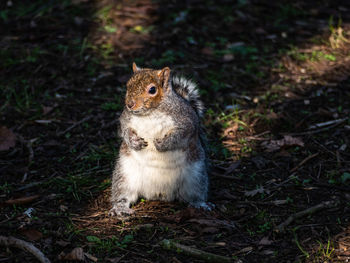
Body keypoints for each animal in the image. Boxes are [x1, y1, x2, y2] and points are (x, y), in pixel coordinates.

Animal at [109, 63, 209, 218]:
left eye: (152, 89)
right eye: (128, 85)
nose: (130, 104)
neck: (151, 112)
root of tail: (158, 193)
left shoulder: (186, 121)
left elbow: (181, 135)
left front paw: (162, 144)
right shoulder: (126, 118)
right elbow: (125, 130)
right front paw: (134, 142)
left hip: (196, 176)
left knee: (195, 193)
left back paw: (199, 204)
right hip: (125, 173)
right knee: (123, 193)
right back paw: (120, 207)